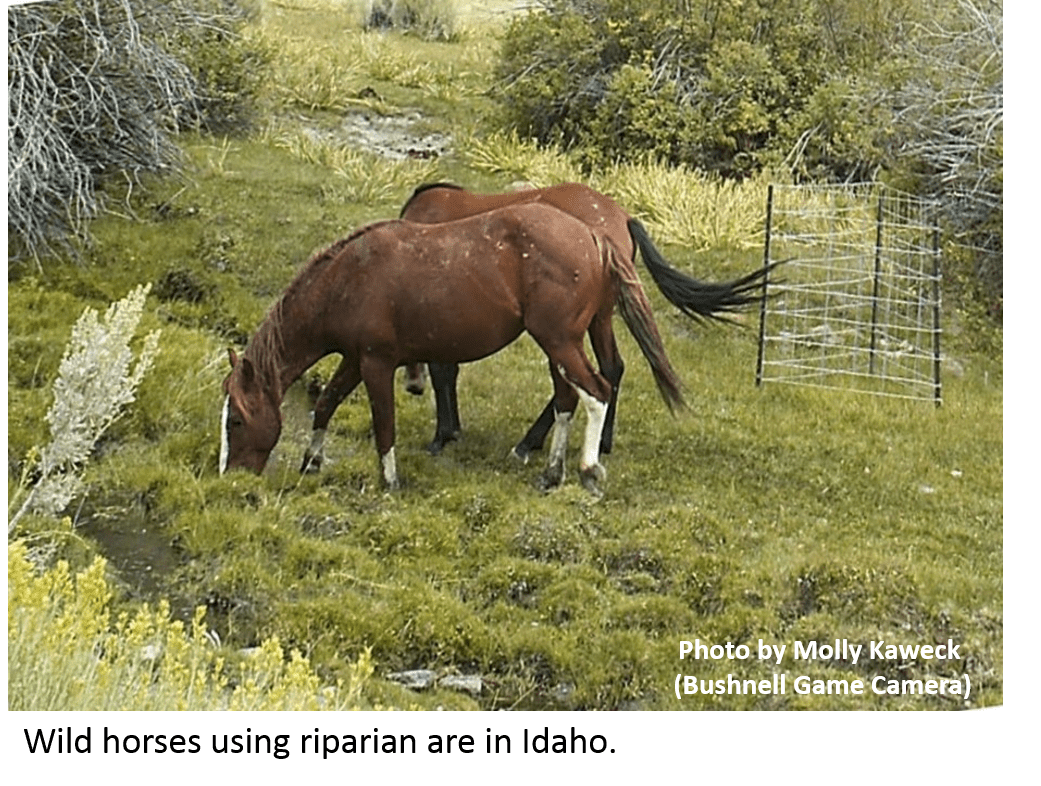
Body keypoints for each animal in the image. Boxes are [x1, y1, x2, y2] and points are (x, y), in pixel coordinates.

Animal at [220, 202, 684, 495]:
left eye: (236, 421)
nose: (230, 476)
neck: (348, 279)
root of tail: (593, 234)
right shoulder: (354, 359)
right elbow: (326, 404)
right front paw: (311, 461)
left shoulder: (375, 363)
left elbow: (384, 424)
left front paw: (389, 483)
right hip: (562, 346)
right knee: (568, 398)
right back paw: (552, 473)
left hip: (559, 342)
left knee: (597, 391)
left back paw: (587, 470)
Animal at [395, 181, 776, 459]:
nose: (412, 387)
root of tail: (621, 218)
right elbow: (449, 370)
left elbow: (444, 371)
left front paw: (443, 435)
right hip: (600, 315)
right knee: (611, 368)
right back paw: (600, 442)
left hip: (570, 325)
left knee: (582, 377)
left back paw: (530, 443)